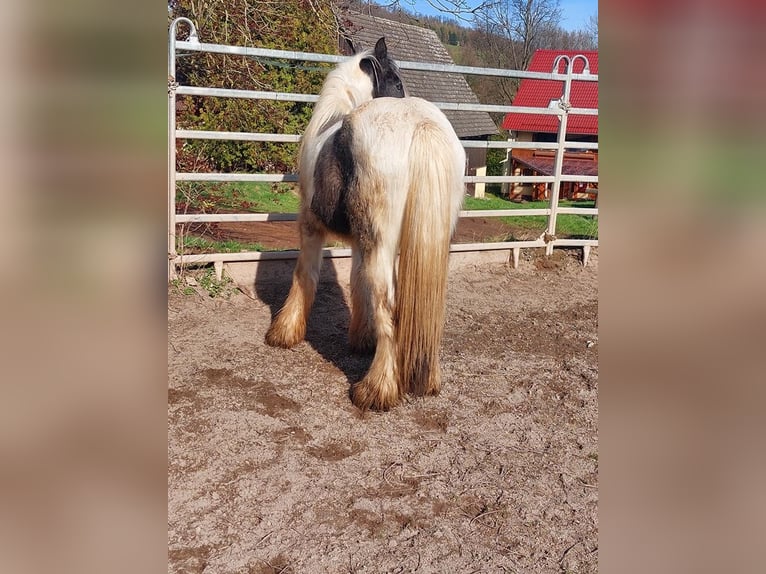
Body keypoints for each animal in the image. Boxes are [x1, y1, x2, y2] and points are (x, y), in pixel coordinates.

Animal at [264, 38, 468, 412]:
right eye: (397, 82)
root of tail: (422, 124)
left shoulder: (311, 228)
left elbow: (305, 275)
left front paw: (284, 332)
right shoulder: (362, 242)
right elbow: (357, 283)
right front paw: (361, 339)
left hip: (379, 244)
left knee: (388, 306)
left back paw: (376, 391)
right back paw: (424, 378)